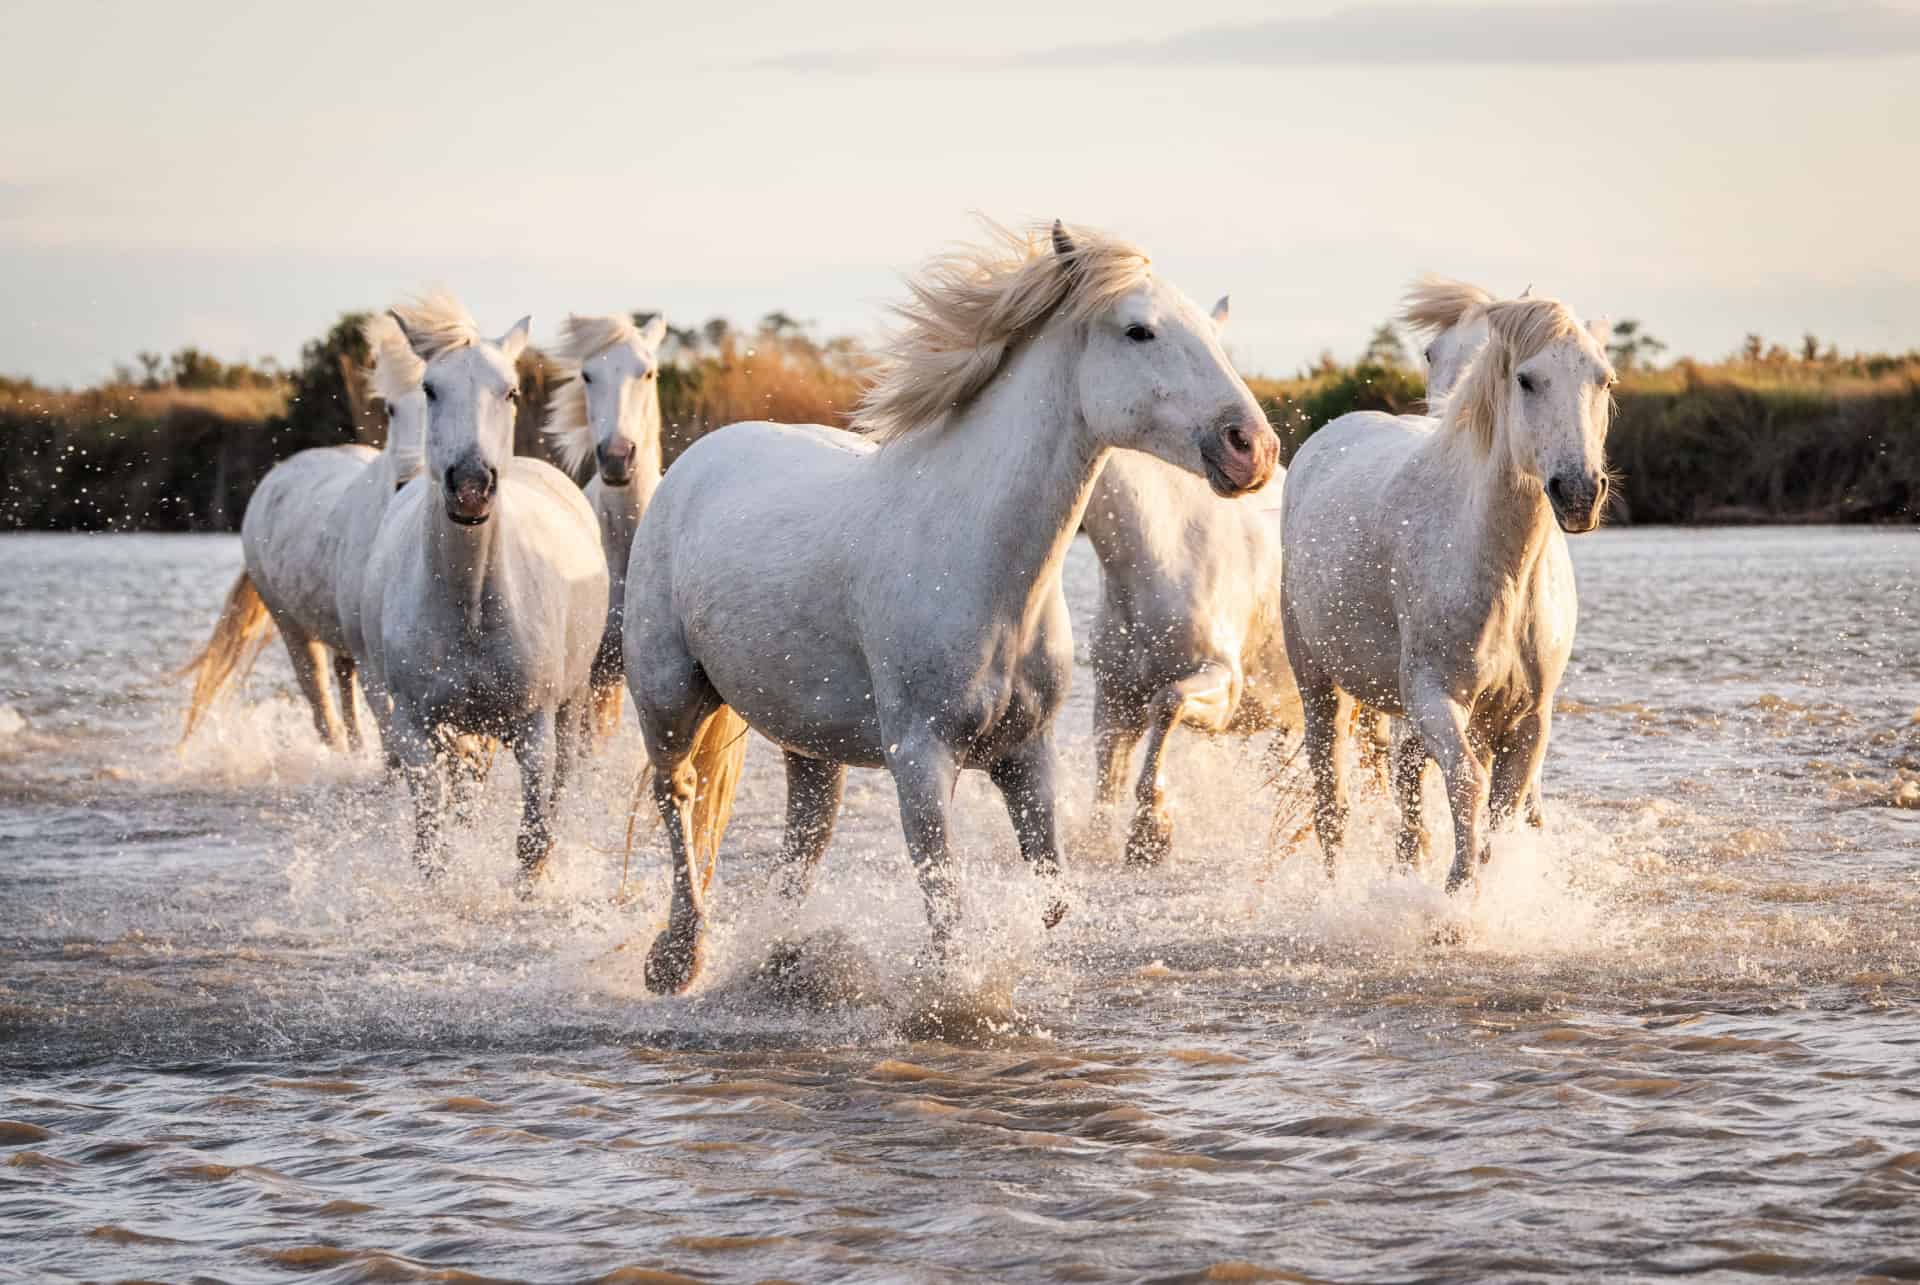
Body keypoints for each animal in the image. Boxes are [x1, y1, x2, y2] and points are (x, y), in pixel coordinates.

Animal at [625, 220, 1274, 991]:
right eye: (1138, 330)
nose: (1253, 448)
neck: (975, 560)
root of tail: (692, 463)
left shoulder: (1027, 753)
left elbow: (1051, 896)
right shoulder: (921, 759)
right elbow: (946, 910)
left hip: (808, 742)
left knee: (804, 840)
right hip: (668, 700)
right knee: (680, 797)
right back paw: (676, 956)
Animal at [1282, 293, 1612, 887]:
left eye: (1605, 379)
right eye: (1527, 379)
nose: (1578, 493)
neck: (1502, 574)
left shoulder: (1529, 719)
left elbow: (1502, 811)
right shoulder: (1435, 698)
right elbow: (1467, 786)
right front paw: (1457, 894)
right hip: (1319, 682)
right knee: (1332, 805)